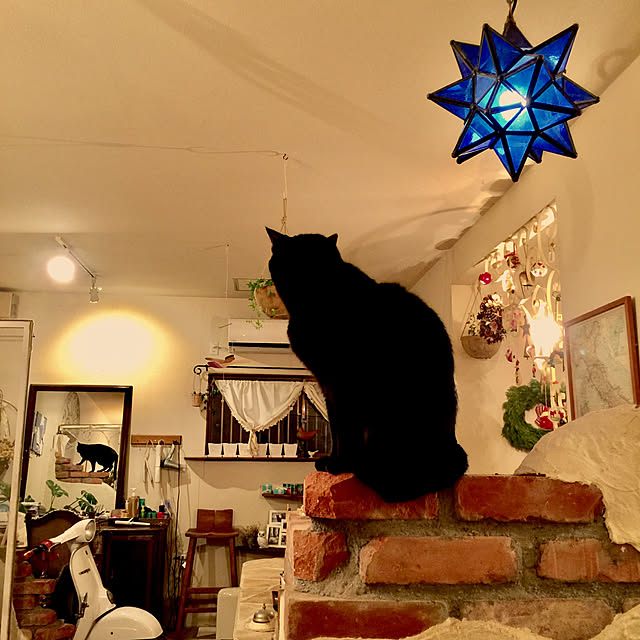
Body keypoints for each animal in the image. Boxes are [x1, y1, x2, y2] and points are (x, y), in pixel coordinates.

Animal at [267, 227, 468, 502]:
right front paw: (333, 461)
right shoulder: (327, 385)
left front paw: (341, 465)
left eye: (319, 263)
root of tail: (452, 451)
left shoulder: (345, 383)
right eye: (295, 261)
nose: (307, 278)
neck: (313, 308)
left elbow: (346, 429)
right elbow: (336, 429)